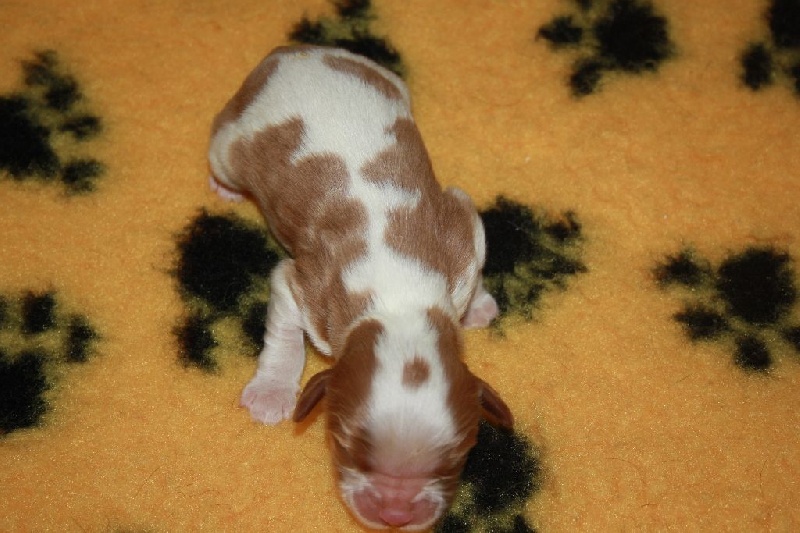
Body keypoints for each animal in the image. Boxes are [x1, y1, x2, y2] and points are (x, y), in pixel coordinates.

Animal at [208, 45, 513, 530]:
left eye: (458, 458)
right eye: (343, 442)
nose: (394, 513)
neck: (400, 301)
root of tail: (292, 53)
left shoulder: (461, 229)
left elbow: (472, 254)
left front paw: (478, 304)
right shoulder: (302, 287)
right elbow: (284, 336)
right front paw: (272, 392)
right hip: (228, 143)